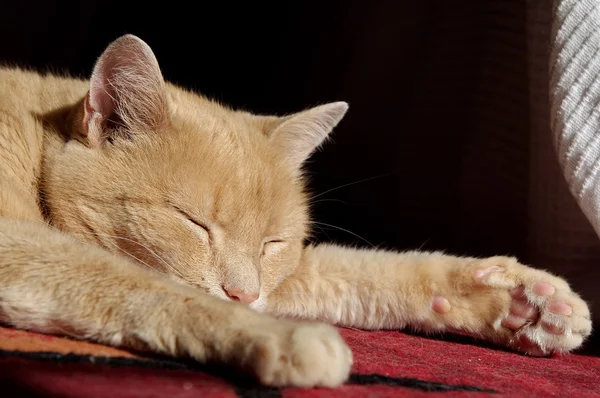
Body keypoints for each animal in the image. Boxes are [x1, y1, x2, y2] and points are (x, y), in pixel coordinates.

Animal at [0, 35, 592, 388]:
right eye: (194, 224)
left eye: (272, 244)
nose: (244, 295)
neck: (38, 136)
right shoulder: (16, 243)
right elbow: (138, 283)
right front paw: (276, 336)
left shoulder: (286, 274)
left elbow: (371, 273)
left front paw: (521, 302)